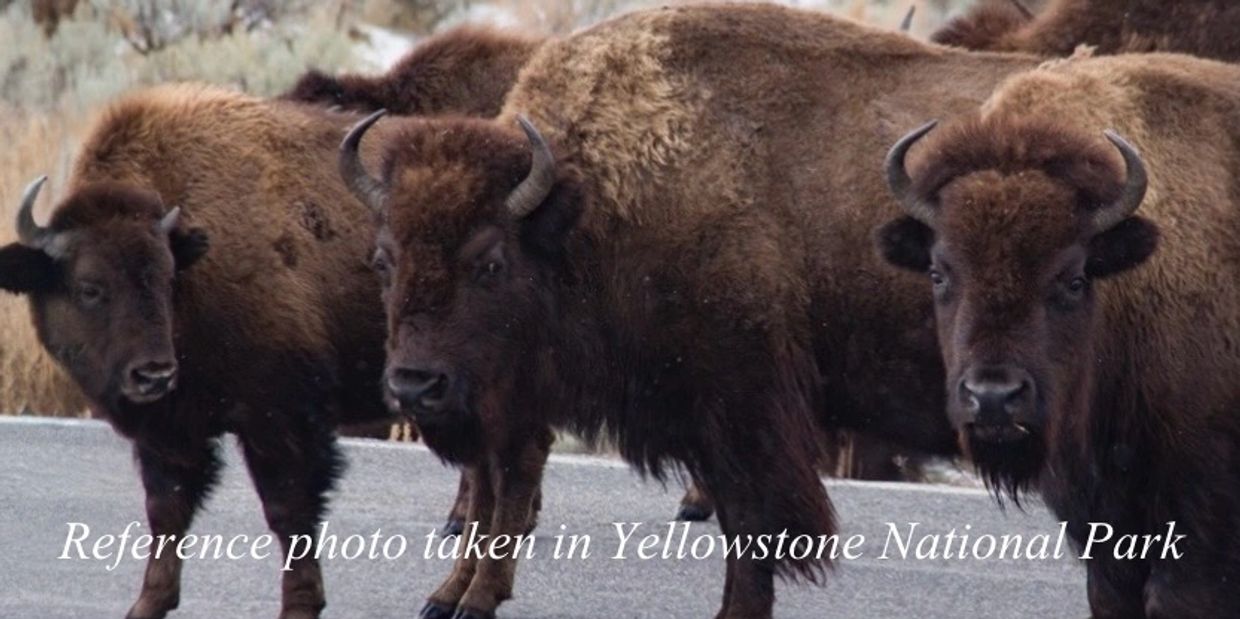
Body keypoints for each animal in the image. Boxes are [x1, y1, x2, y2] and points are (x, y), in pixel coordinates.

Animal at [336, 4, 1041, 617]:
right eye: (384, 259)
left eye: (490, 261)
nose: (414, 386)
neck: (590, 208)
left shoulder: (742, 409)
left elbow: (753, 526)